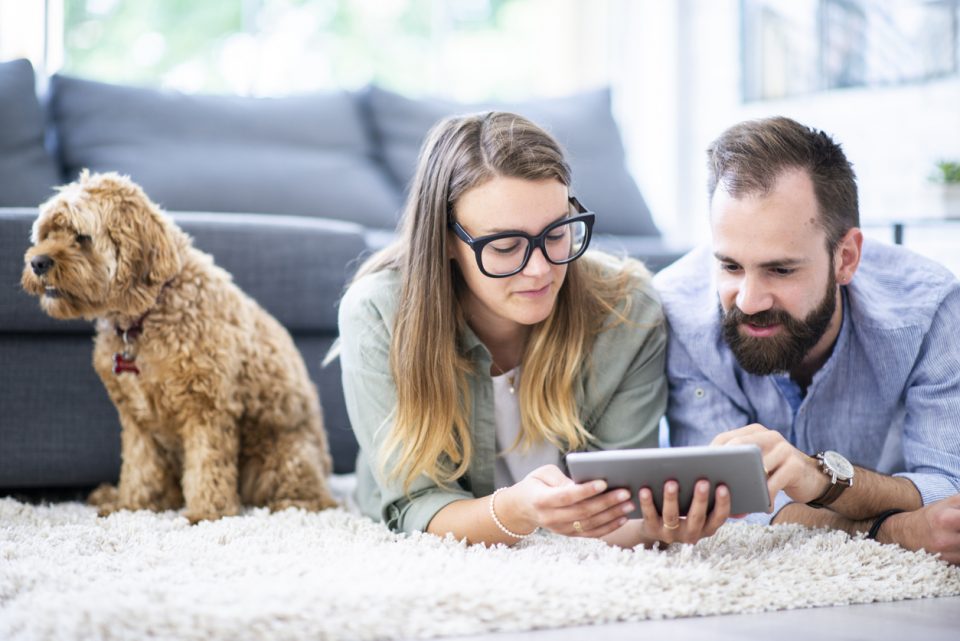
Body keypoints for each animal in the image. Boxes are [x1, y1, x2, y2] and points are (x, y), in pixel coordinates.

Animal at [21, 172, 338, 524]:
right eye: (48, 233)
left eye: (82, 237)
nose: (37, 262)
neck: (147, 315)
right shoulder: (136, 418)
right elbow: (140, 465)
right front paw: (132, 505)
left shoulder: (207, 408)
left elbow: (207, 465)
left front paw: (206, 514)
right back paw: (111, 495)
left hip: (280, 454)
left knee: (314, 497)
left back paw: (291, 504)